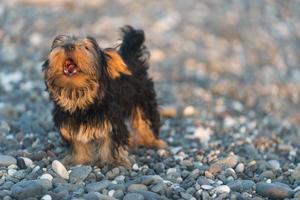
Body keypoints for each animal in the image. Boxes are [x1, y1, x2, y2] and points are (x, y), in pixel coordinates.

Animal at [43, 25, 166, 167]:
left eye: (85, 47)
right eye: (61, 44)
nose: (68, 46)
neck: (78, 96)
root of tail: (131, 57)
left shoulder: (111, 120)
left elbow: (111, 141)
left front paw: (115, 161)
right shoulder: (70, 123)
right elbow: (77, 142)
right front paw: (79, 159)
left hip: (143, 97)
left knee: (145, 119)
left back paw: (151, 141)